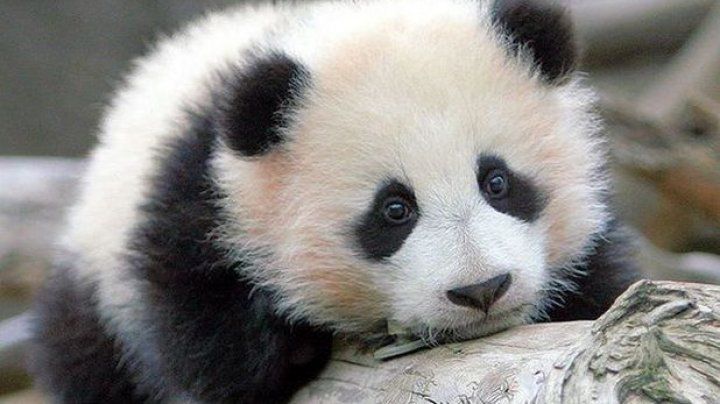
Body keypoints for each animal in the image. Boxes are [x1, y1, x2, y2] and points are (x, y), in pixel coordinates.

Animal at [31, 0, 641, 402]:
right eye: (394, 210)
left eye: (497, 182)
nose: (481, 290)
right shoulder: (197, 196)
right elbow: (206, 347)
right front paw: (290, 341)